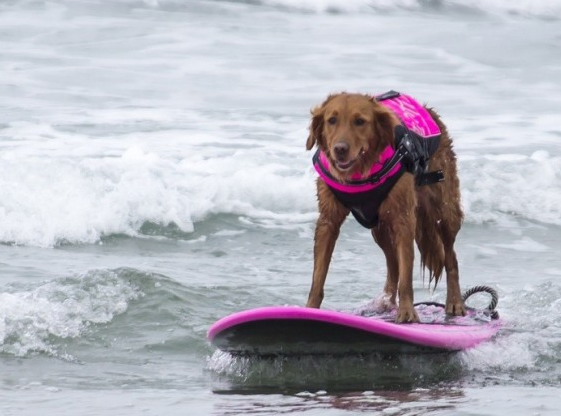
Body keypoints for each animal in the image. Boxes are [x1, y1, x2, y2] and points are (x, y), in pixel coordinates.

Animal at [306, 92, 464, 324]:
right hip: (379, 228)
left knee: (450, 257)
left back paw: (455, 302)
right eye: (331, 120)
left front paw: (407, 313)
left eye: (360, 121)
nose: (340, 149)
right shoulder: (328, 220)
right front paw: (309, 309)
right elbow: (318, 276)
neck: (360, 172)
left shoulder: (404, 218)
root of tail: (430, 112)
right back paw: (385, 304)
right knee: (393, 265)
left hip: (443, 210)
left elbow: (407, 274)